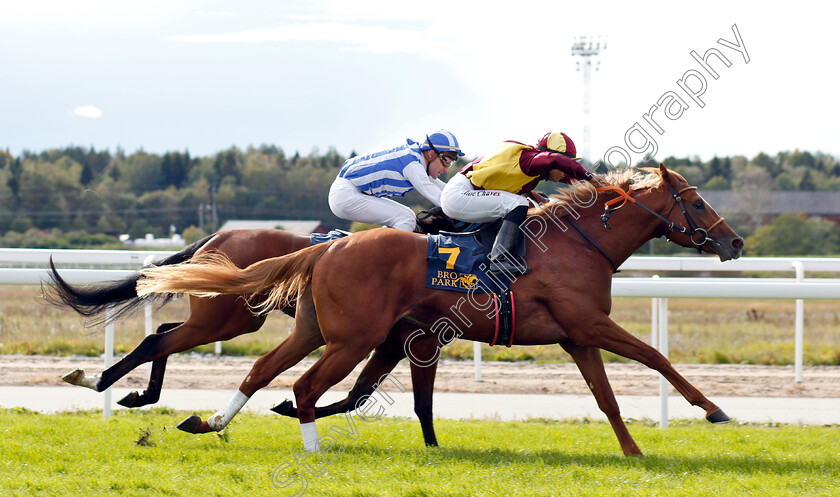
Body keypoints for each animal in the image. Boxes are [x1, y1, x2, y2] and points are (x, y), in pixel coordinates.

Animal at [135, 166, 744, 454]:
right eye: (696, 202)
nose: (735, 242)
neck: (577, 243)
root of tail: (325, 247)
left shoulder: (576, 336)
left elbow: (608, 399)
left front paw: (634, 451)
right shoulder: (590, 323)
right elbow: (656, 358)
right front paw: (715, 409)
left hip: (314, 331)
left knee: (262, 370)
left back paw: (208, 421)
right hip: (351, 338)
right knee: (304, 387)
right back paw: (307, 448)